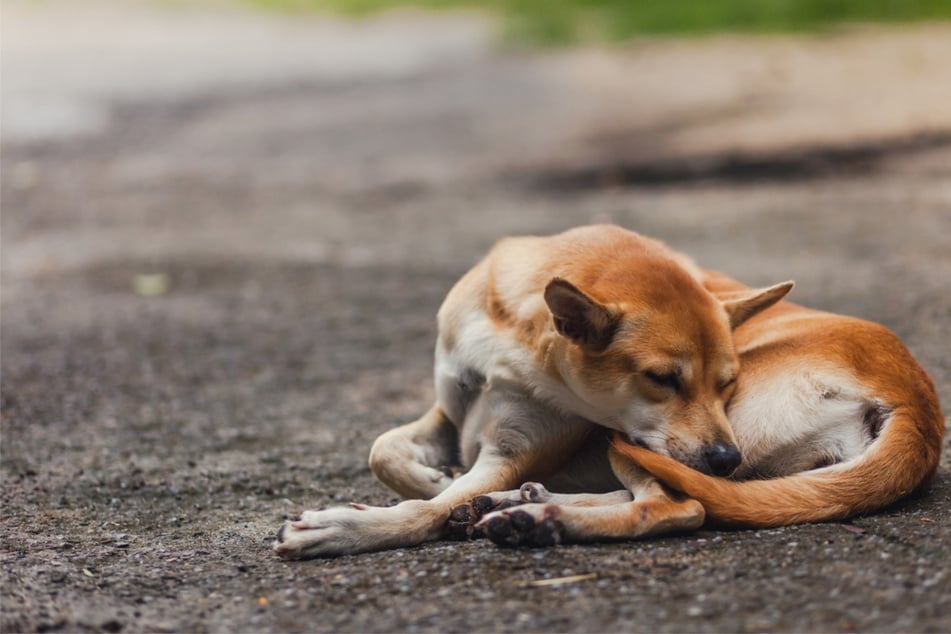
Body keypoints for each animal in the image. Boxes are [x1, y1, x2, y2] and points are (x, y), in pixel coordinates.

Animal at [276, 225, 944, 556]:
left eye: (726, 383)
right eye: (663, 378)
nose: (725, 458)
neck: (514, 338)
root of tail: (920, 408)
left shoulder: (516, 447)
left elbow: (423, 511)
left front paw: (347, 528)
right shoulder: (450, 405)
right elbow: (384, 451)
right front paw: (434, 480)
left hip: (642, 445)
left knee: (683, 506)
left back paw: (538, 518)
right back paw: (525, 507)